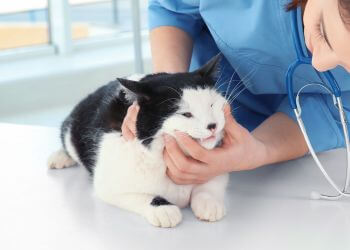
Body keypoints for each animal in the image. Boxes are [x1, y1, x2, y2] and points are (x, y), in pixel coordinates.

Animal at [48, 54, 230, 227]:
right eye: (186, 114)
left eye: (212, 105)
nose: (212, 125)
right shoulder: (108, 183)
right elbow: (140, 196)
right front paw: (163, 209)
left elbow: (209, 184)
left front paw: (209, 203)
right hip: (72, 128)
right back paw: (60, 157)